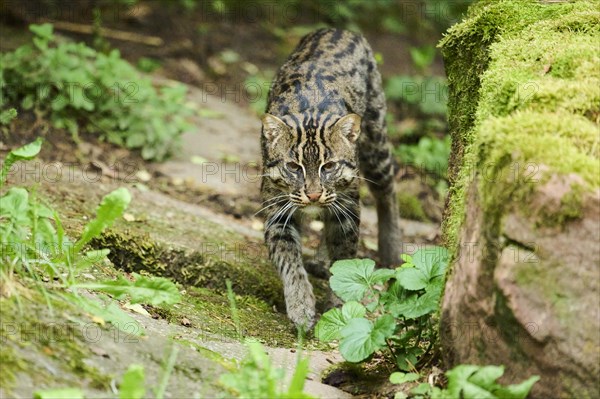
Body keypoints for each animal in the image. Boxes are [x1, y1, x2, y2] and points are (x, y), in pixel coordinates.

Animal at [258, 27, 398, 328]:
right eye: (294, 166)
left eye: (330, 166)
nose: (313, 194)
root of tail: (339, 29)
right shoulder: (278, 210)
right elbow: (288, 259)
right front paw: (301, 306)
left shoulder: (347, 206)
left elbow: (344, 255)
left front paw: (339, 307)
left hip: (375, 139)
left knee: (388, 188)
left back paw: (392, 249)